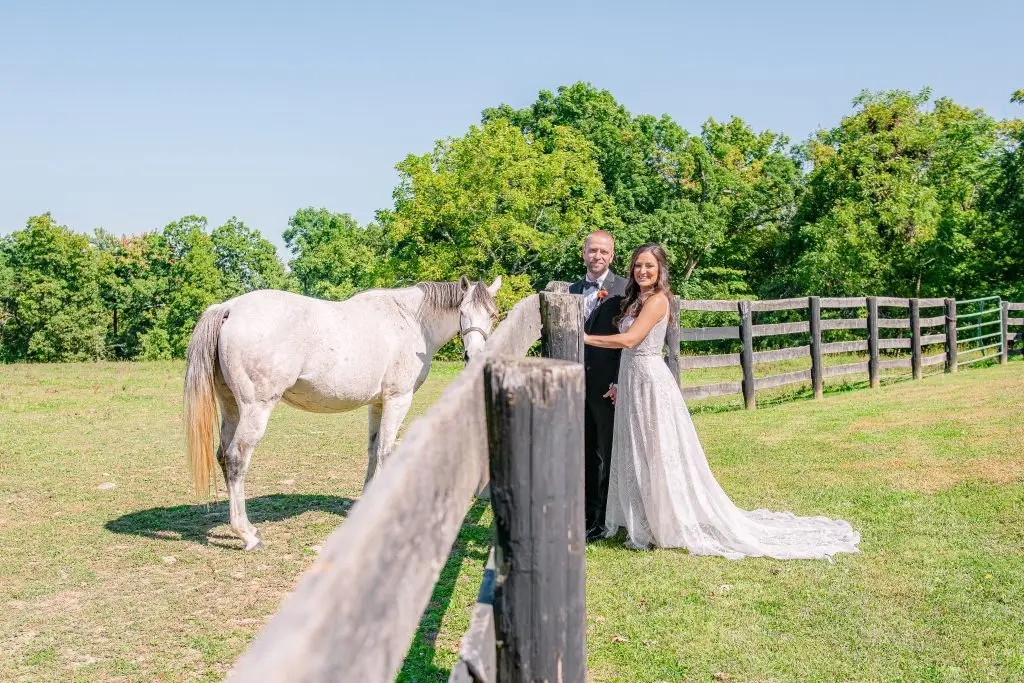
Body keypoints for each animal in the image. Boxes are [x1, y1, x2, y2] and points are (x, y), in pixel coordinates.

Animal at [183, 276, 502, 550]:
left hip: (231, 407)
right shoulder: (398, 399)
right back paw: (247, 534)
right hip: (255, 408)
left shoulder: (377, 403)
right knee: (237, 458)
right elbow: (386, 451)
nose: (475, 357)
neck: (411, 321)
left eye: (493, 314)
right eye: (462, 312)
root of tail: (228, 308)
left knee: (223, 456)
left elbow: (373, 449)